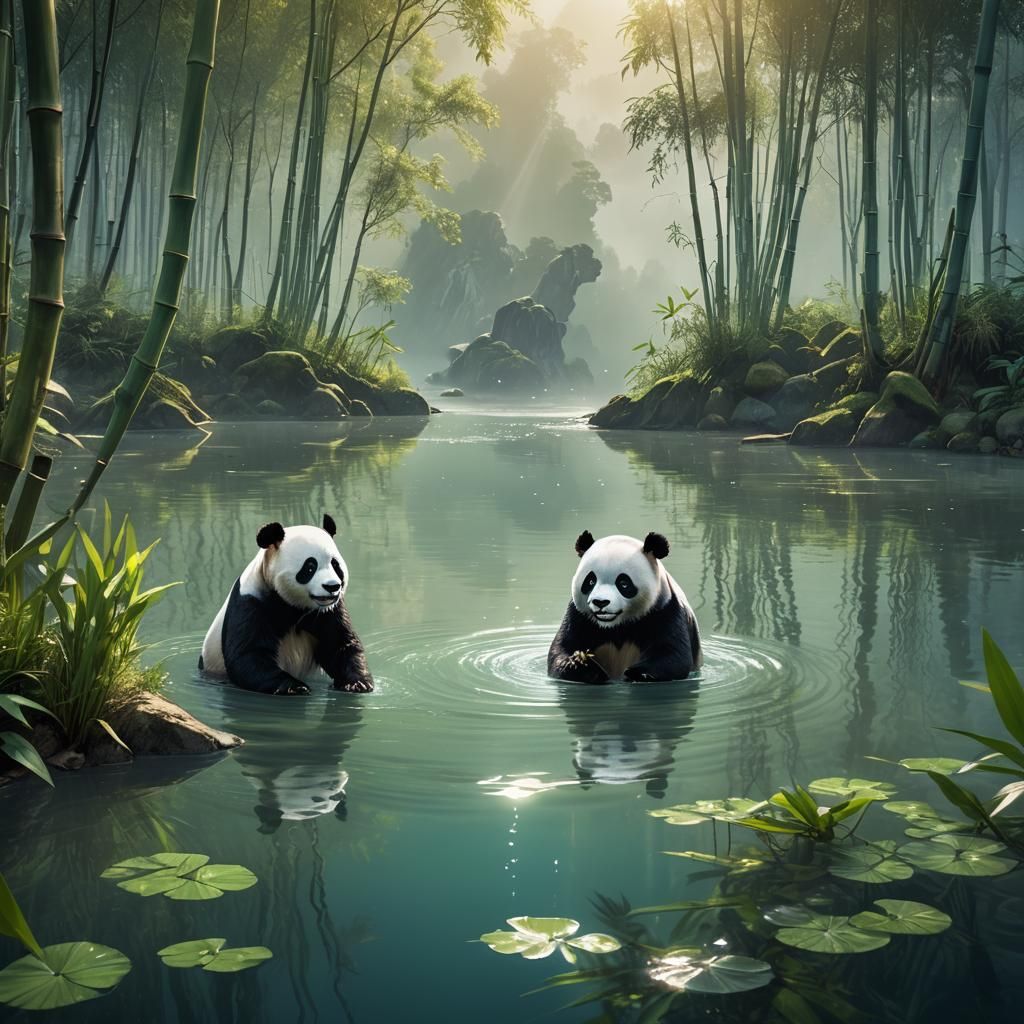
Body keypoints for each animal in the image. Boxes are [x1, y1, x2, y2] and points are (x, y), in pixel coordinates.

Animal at [200, 515, 374, 695]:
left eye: (335, 565)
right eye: (310, 567)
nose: (332, 586)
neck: (292, 605)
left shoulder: (328, 610)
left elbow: (339, 644)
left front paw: (357, 683)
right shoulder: (251, 601)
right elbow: (249, 653)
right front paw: (294, 687)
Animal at [547, 531, 702, 683]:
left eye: (623, 583)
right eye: (590, 581)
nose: (600, 602)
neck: (616, 627)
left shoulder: (666, 610)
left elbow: (672, 655)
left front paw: (638, 674)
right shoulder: (579, 616)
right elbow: (562, 647)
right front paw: (580, 665)